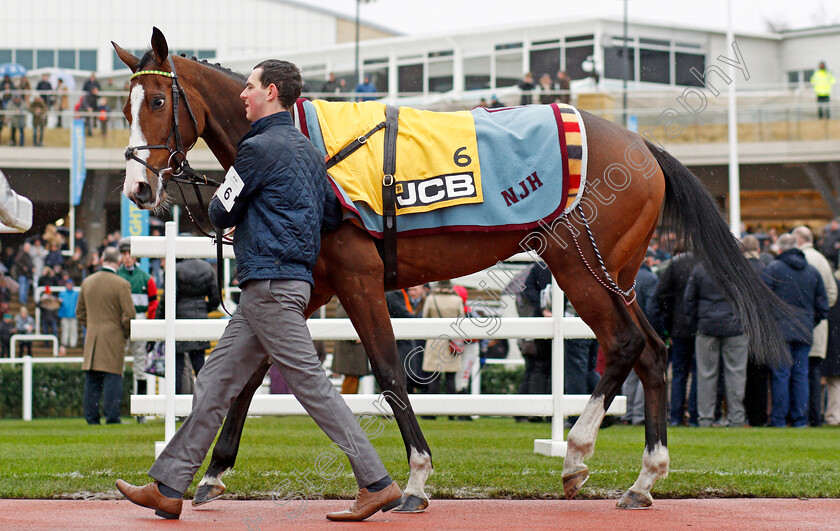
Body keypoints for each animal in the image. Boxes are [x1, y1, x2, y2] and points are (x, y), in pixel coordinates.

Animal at [115, 28, 792, 512]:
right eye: (123, 106)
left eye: (158, 100)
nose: (138, 189)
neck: (304, 141)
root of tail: (641, 145)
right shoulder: (311, 284)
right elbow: (250, 374)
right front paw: (212, 473)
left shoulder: (359, 281)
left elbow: (389, 372)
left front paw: (414, 480)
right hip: (615, 271)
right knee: (652, 350)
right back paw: (641, 477)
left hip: (581, 265)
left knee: (626, 343)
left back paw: (577, 454)